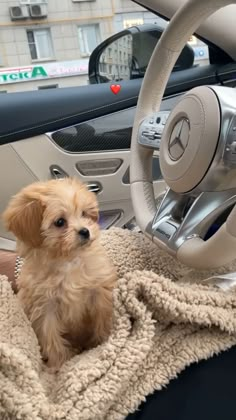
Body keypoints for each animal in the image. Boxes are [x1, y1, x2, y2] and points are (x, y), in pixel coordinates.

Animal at [2, 179, 117, 370]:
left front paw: (102, 342)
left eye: (84, 213)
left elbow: (102, 316)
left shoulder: (98, 290)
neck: (67, 261)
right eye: (60, 222)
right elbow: (51, 337)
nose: (85, 231)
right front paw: (60, 362)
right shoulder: (44, 307)